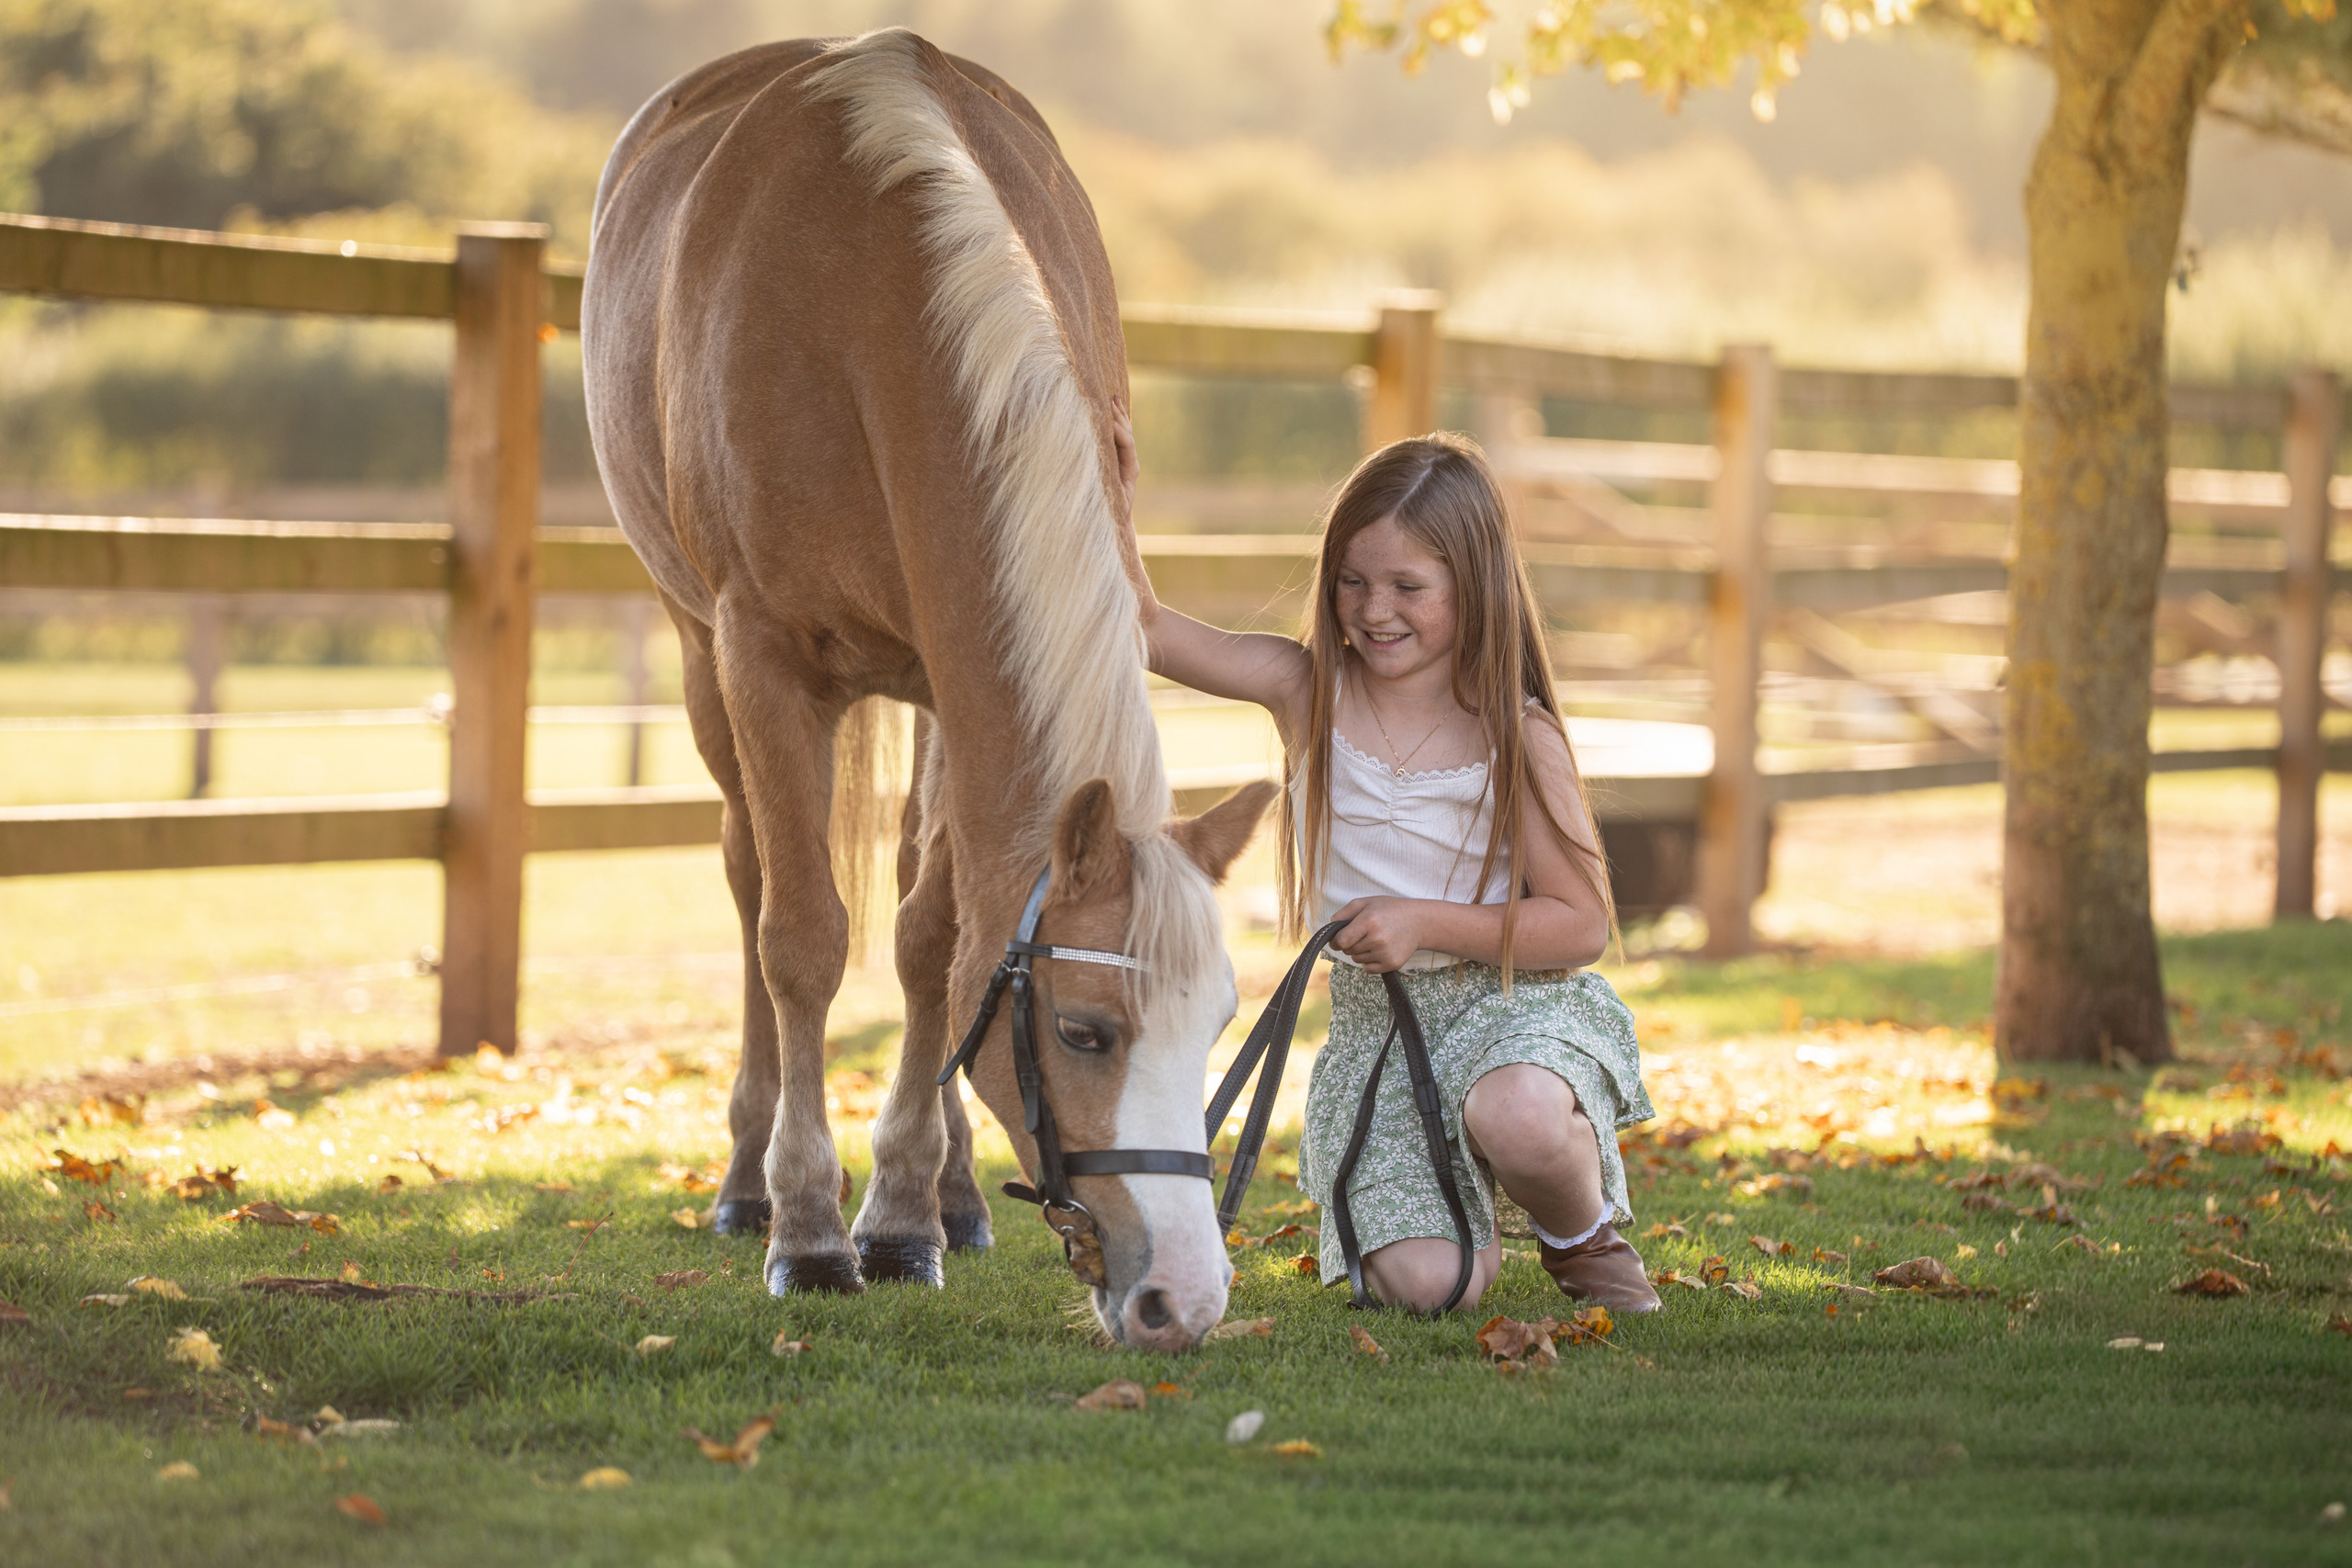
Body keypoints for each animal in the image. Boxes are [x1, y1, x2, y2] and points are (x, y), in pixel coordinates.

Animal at [580, 28, 1274, 1350]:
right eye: (1084, 1030)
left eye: (1218, 1021)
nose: (1186, 1296)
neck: (870, 297)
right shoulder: (760, 655)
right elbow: (800, 937)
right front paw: (812, 1230)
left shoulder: (957, 684)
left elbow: (934, 939)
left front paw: (904, 1214)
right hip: (702, 664)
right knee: (750, 879)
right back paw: (748, 1183)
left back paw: (952, 1191)